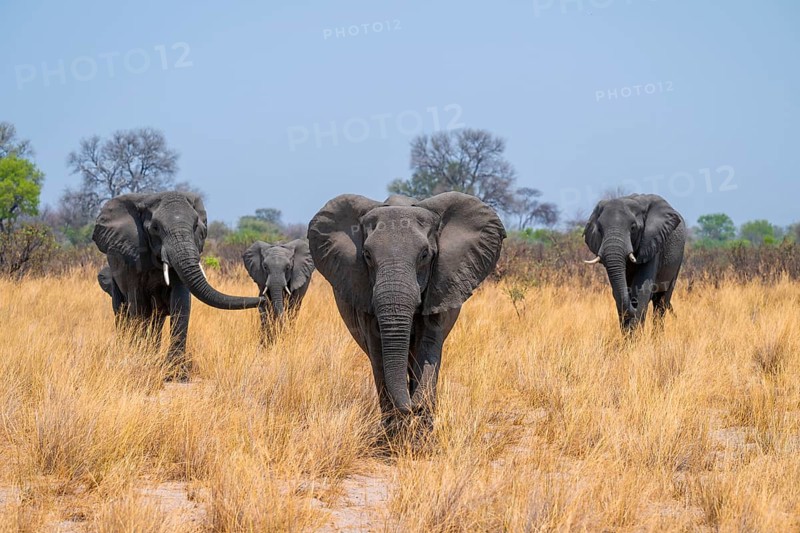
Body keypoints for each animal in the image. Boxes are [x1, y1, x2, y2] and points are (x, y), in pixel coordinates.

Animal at [92, 191, 262, 380]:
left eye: (195, 225)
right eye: (155, 228)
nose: (264, 297)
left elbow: (181, 301)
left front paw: (176, 375)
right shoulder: (132, 254)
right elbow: (138, 305)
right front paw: (141, 361)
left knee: (156, 320)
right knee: (122, 312)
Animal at [308, 191, 506, 427]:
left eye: (425, 255)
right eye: (367, 255)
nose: (413, 407)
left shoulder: (439, 285)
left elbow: (428, 346)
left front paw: (422, 426)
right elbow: (379, 354)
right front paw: (396, 429)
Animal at [583, 194, 686, 333]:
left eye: (633, 228)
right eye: (599, 229)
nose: (633, 305)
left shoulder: (652, 243)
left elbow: (641, 290)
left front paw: (635, 336)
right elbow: (618, 293)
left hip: (677, 260)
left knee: (661, 302)